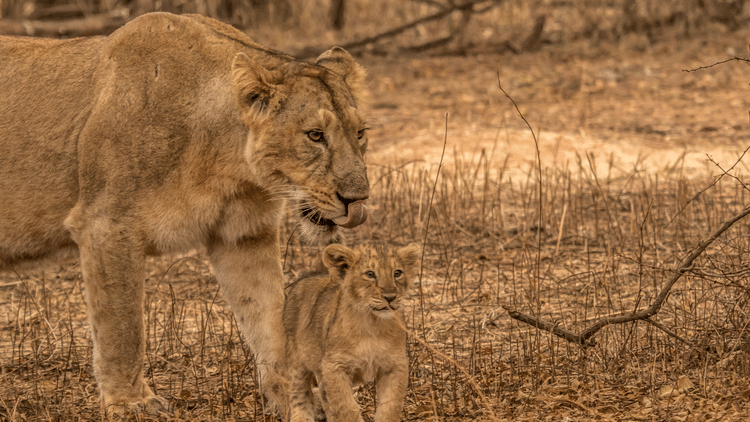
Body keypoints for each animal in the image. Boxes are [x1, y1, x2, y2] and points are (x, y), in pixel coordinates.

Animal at [0, 12, 371, 417]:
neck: (228, 162)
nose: (358, 199)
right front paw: (131, 404)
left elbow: (270, 320)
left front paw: (295, 400)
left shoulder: (244, 234)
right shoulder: (107, 225)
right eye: (315, 135)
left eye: (360, 133)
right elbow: (122, 327)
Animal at [283, 242, 421, 422]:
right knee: (299, 396)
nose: (391, 297)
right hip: (297, 362)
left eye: (397, 273)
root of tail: (302, 279)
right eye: (370, 274)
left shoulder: (395, 365)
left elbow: (390, 406)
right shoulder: (334, 367)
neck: (372, 324)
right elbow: (346, 406)